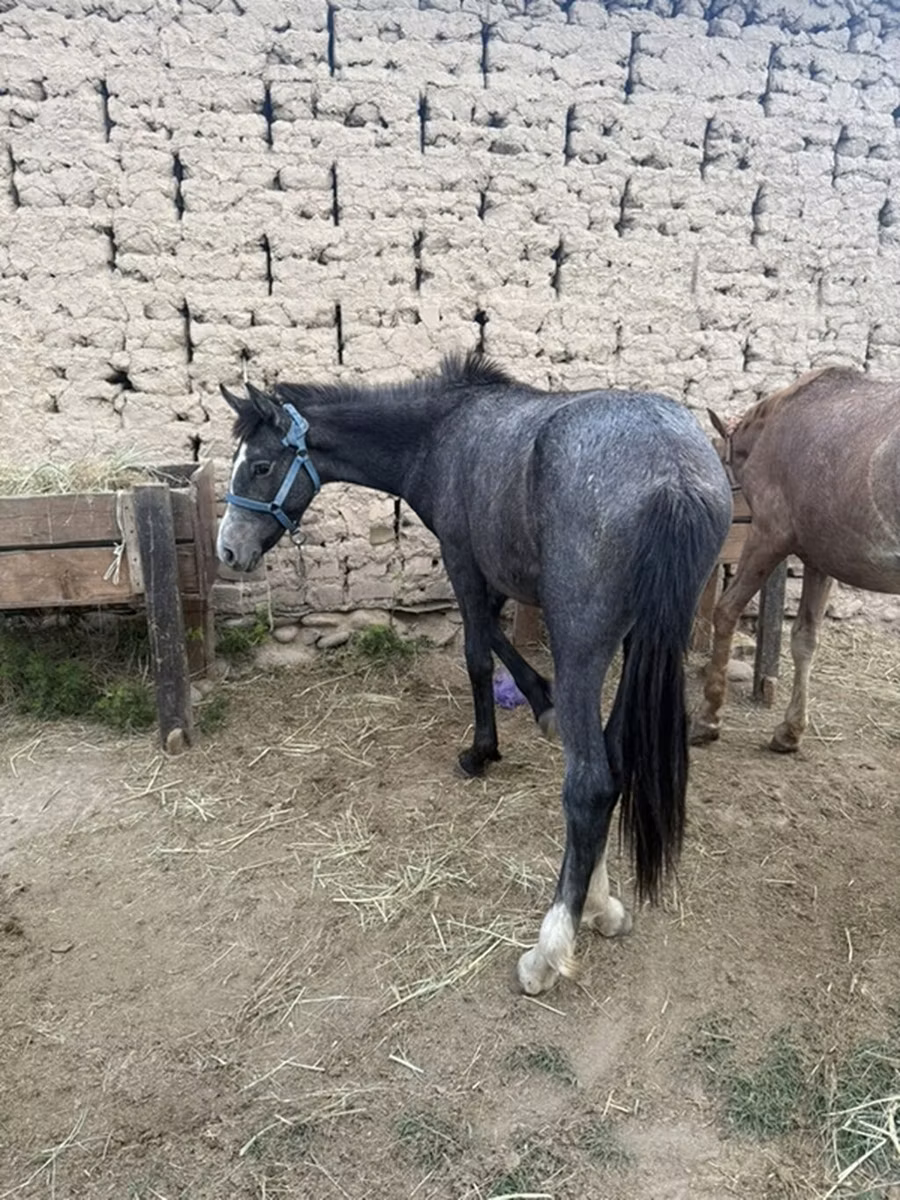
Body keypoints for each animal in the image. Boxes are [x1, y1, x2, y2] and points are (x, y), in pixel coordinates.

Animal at [217, 351, 732, 995]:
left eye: (261, 466)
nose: (228, 551)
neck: (443, 430)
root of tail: (672, 473)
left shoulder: (463, 559)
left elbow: (478, 650)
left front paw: (483, 750)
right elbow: (496, 638)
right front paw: (541, 703)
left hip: (583, 638)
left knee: (590, 785)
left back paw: (549, 949)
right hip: (644, 636)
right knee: (613, 760)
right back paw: (600, 902)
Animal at [691, 365, 900, 753]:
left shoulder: (767, 537)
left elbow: (726, 611)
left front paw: (708, 717)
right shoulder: (820, 560)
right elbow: (805, 638)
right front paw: (789, 731)